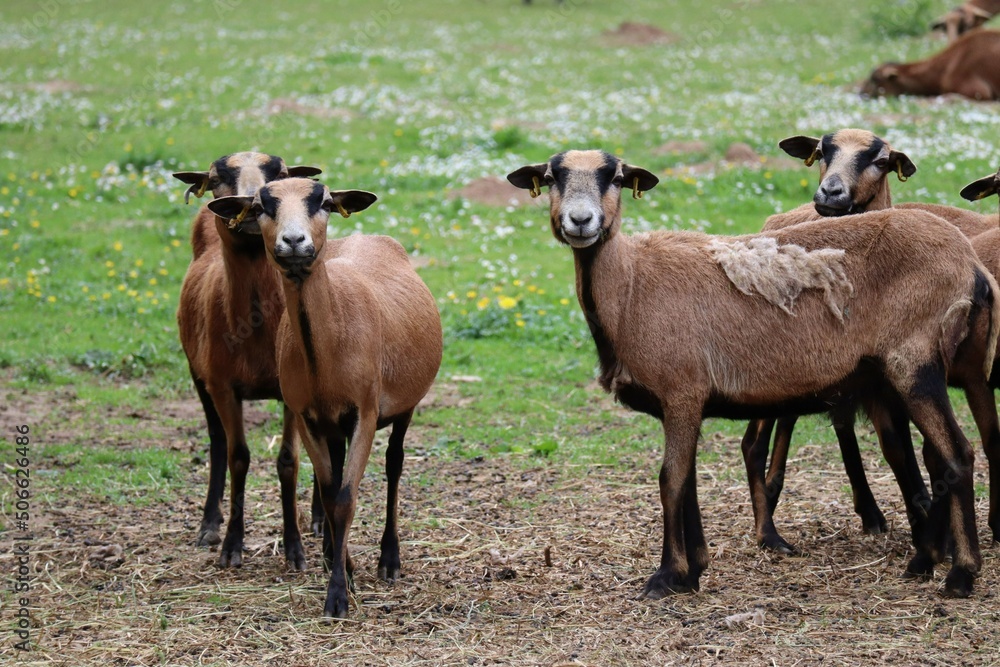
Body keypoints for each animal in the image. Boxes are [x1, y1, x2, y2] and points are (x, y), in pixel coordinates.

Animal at [173, 152, 323, 569]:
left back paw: (319, 519)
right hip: (198, 375)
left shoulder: (293, 390)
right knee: (217, 441)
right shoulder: (222, 386)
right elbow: (237, 456)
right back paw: (209, 525)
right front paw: (231, 545)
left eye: (282, 174)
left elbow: (289, 460)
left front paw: (295, 549)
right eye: (216, 178)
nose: (253, 202)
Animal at [207, 178, 443, 618]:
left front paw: (338, 598)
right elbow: (331, 495)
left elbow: (346, 499)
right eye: (262, 207)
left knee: (395, 465)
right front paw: (340, 570)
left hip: (404, 406)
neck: (327, 350)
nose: (294, 241)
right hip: (333, 425)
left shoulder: (365, 411)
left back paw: (390, 560)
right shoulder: (305, 415)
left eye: (325, 203)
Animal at [507, 149, 995, 598]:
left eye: (615, 178)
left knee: (958, 455)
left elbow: (670, 480)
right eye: (551, 177)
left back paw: (960, 574)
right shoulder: (685, 401)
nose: (581, 221)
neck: (630, 289)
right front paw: (695, 570)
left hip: (915, 361)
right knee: (937, 457)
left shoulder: (681, 390)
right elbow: (688, 481)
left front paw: (666, 577)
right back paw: (925, 561)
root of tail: (971, 264)